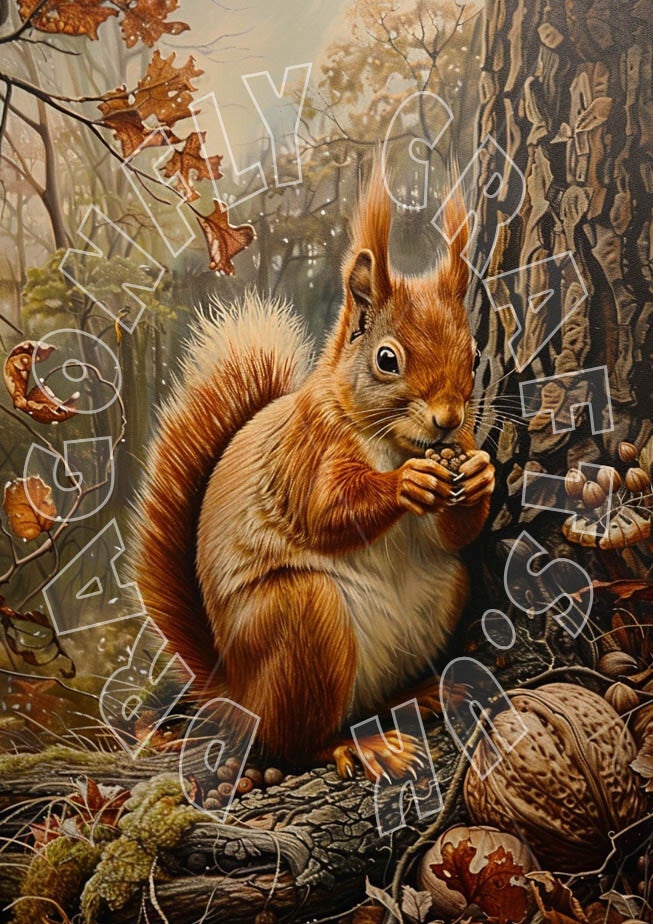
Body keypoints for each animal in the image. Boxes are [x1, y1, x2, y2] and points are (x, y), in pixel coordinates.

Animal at [133, 168, 495, 779]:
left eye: (472, 356)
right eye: (387, 359)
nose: (448, 420)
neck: (392, 443)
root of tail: (240, 694)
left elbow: (455, 533)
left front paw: (482, 474)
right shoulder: (304, 452)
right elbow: (325, 511)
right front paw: (405, 485)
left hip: (447, 590)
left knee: (367, 702)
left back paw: (418, 696)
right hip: (304, 620)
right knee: (296, 741)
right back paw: (359, 746)